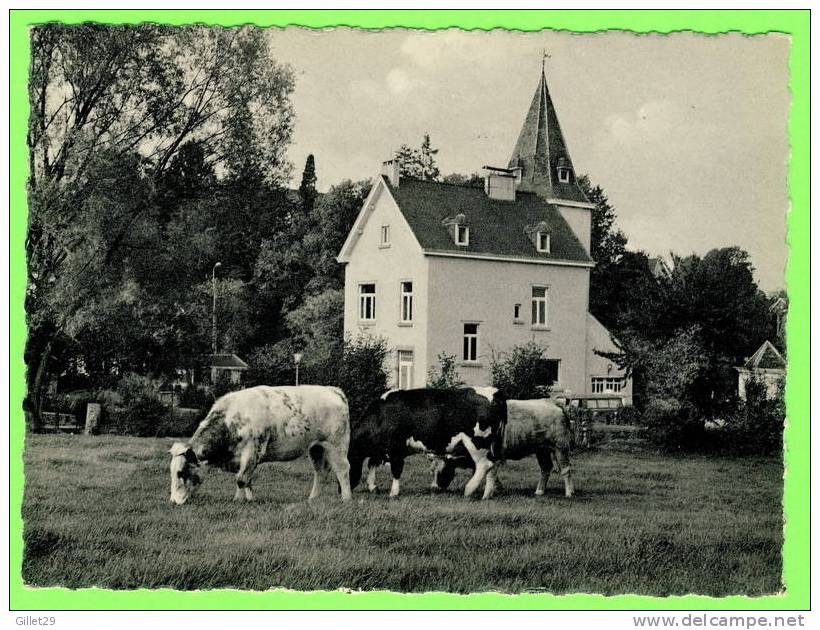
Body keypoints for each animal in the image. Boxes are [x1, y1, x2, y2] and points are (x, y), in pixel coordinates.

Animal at [170, 382, 352, 506]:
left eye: (181, 473)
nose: (173, 501)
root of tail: (333, 390)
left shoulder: (252, 451)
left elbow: (241, 479)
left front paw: (237, 500)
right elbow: (248, 479)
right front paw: (250, 500)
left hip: (337, 444)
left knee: (342, 469)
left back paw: (346, 498)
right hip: (316, 448)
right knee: (320, 471)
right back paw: (313, 499)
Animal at [350, 390, 510, 498]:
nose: (344, 490)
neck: (381, 416)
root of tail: (495, 393)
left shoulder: (396, 449)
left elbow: (396, 470)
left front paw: (393, 493)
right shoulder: (381, 451)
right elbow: (372, 463)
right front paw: (373, 487)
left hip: (477, 443)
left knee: (484, 465)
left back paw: (469, 489)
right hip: (492, 446)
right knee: (493, 466)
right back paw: (486, 495)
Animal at [442, 400, 572, 504]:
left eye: (446, 467)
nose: (439, 487)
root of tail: (552, 403)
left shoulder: (492, 456)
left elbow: (490, 474)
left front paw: (486, 495)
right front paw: (497, 489)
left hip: (561, 446)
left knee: (566, 469)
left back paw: (569, 493)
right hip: (542, 450)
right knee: (546, 468)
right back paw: (539, 492)